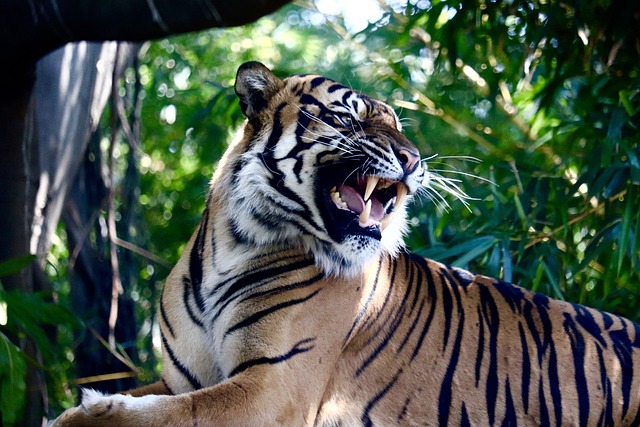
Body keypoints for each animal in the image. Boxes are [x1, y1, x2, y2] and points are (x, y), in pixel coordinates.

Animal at [51, 61, 640, 427]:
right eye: (345, 117)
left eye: (399, 126)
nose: (413, 158)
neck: (235, 243)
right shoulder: (184, 379)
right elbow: (156, 403)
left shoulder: (273, 387)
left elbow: (166, 415)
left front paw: (90, 411)